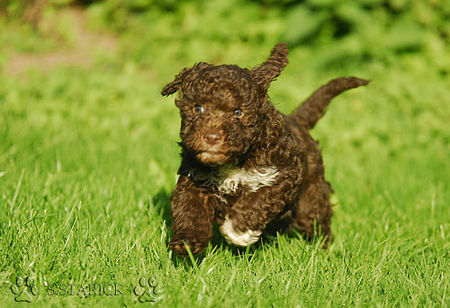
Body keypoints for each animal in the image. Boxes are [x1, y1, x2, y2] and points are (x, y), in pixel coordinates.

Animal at [160, 43, 368, 255]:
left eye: (238, 112)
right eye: (198, 108)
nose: (211, 137)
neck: (235, 161)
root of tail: (296, 120)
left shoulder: (286, 175)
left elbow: (258, 199)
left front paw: (237, 231)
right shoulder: (194, 178)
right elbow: (190, 209)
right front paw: (187, 242)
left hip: (311, 194)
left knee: (316, 219)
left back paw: (325, 249)